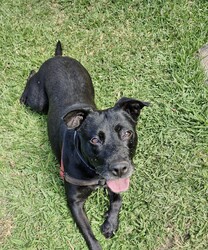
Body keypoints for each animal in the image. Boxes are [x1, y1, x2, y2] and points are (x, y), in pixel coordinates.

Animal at [19, 42, 150, 249]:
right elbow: (89, 233)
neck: (94, 173)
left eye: (127, 133)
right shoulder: (75, 202)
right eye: (95, 140)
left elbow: (118, 199)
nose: (120, 168)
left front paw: (110, 224)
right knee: (32, 77)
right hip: (37, 102)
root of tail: (58, 57)